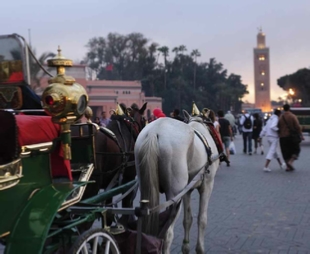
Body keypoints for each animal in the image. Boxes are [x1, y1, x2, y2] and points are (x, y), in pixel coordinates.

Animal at [135, 111, 220, 254]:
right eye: (214, 127)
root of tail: (154, 131)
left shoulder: (187, 190)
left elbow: (188, 219)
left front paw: (186, 247)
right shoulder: (207, 185)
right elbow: (202, 219)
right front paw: (200, 248)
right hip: (175, 194)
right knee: (167, 234)